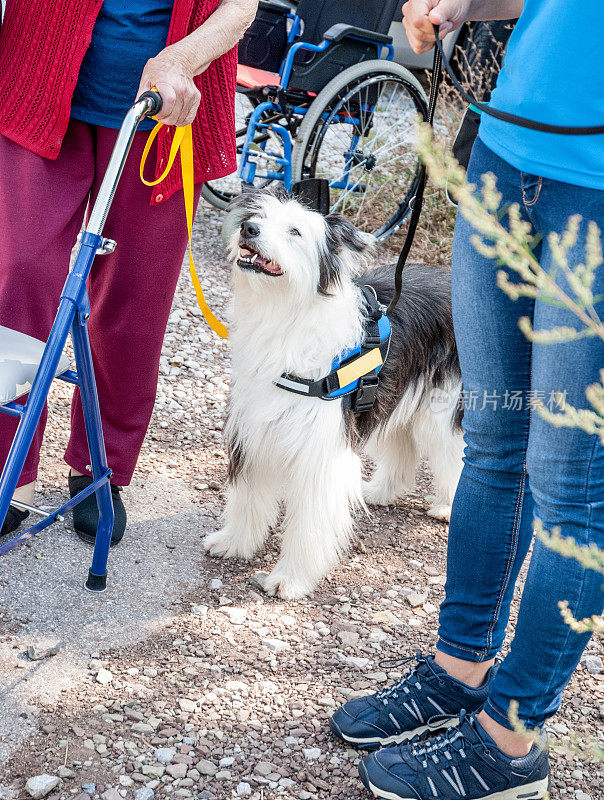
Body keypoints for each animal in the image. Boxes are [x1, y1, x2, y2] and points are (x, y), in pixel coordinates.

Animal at [203, 191, 462, 596]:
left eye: (295, 231)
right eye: (259, 217)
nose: (248, 228)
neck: (286, 318)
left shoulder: (320, 449)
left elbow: (309, 524)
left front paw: (290, 578)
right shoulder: (254, 428)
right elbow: (248, 496)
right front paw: (235, 542)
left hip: (442, 405)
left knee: (453, 452)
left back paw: (448, 506)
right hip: (391, 394)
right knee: (402, 445)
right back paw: (381, 491)